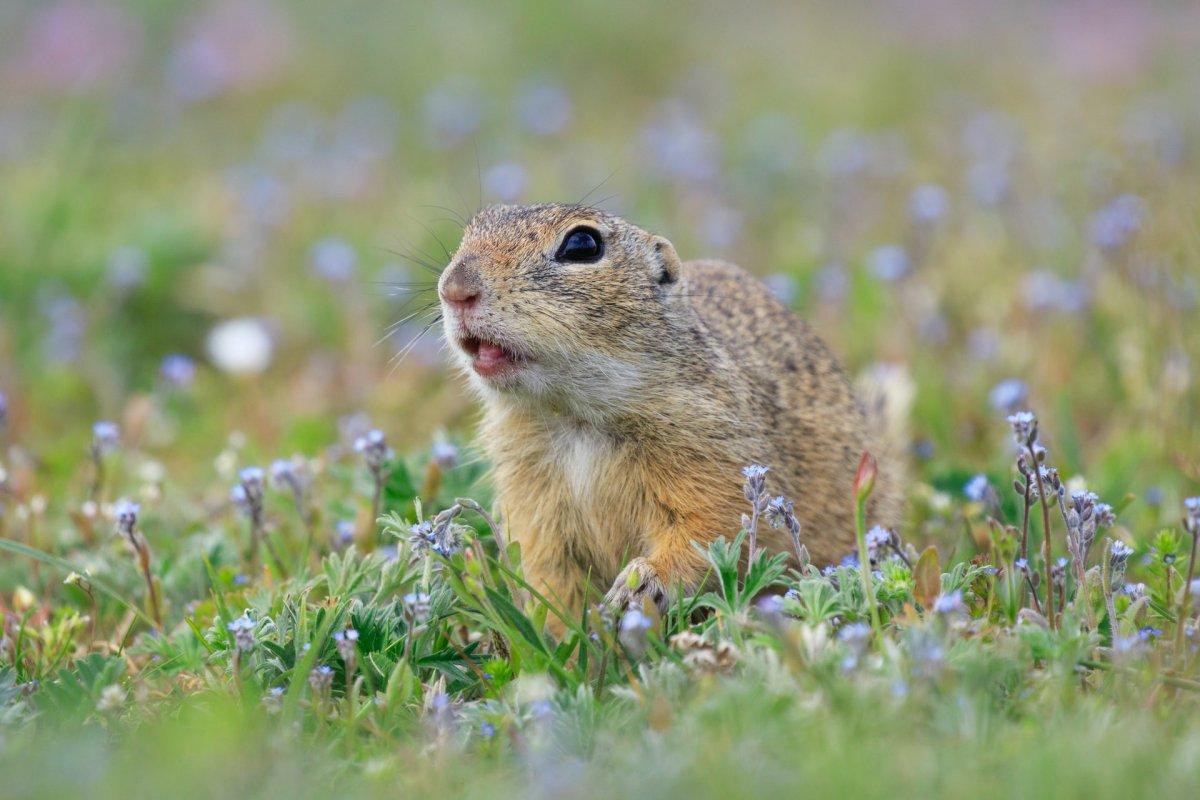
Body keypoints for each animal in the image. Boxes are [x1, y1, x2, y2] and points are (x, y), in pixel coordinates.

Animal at [439, 203, 902, 618]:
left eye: (582, 244)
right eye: (472, 230)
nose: (454, 288)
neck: (574, 416)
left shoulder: (710, 451)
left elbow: (707, 529)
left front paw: (639, 585)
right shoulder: (531, 497)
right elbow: (548, 572)